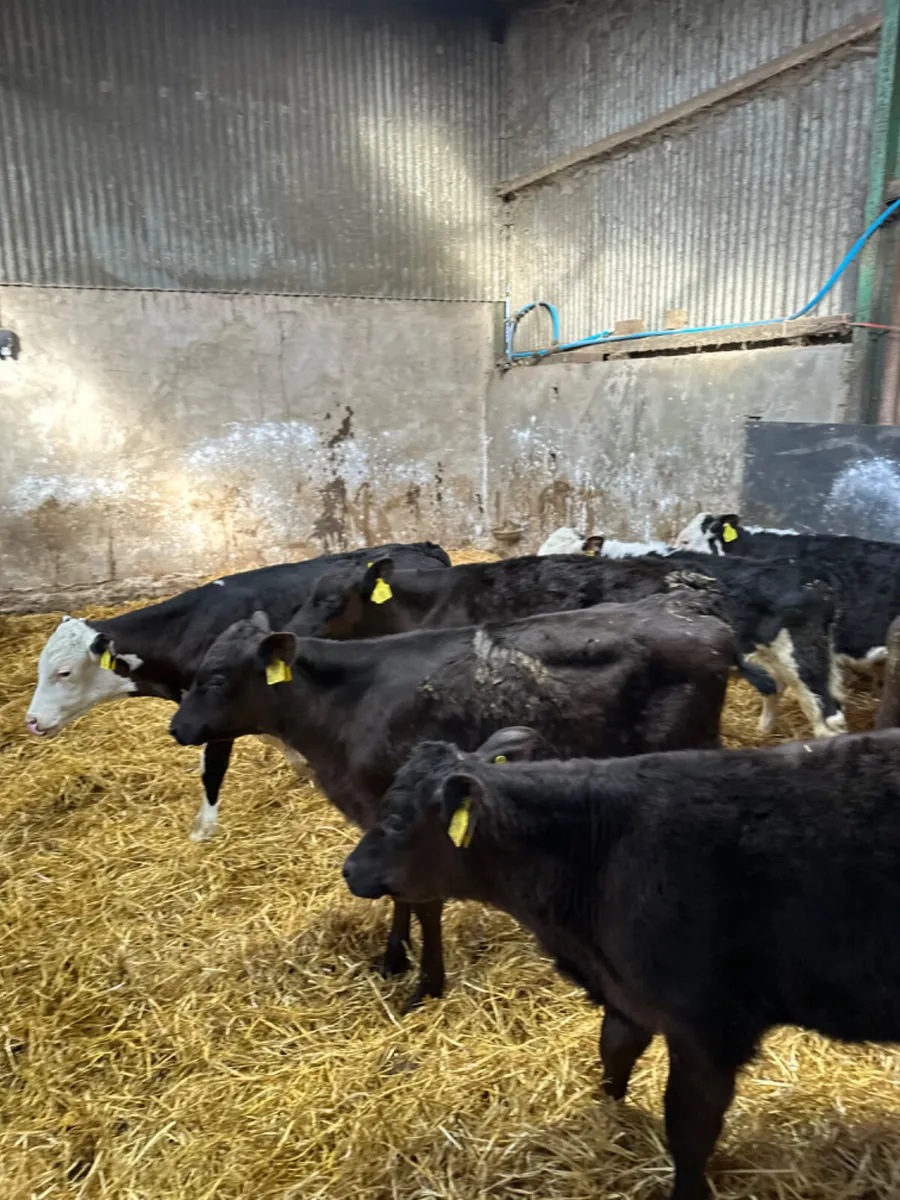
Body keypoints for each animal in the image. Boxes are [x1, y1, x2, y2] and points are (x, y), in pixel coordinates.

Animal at [24, 541, 450, 840]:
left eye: (63, 672)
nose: (31, 721)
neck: (184, 629)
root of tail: (422, 547)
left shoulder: (215, 709)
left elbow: (212, 770)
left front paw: (203, 829)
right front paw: (300, 764)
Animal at [169, 586, 761, 1010]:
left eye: (215, 677)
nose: (177, 727)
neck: (344, 706)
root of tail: (696, 614)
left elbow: (422, 899)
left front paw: (424, 985)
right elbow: (399, 896)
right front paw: (393, 958)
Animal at [343, 727, 900, 1200]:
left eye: (396, 819)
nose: (349, 869)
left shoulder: (707, 1026)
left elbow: (690, 1127)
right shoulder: (629, 996)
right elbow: (613, 1053)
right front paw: (608, 1119)